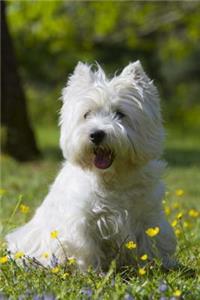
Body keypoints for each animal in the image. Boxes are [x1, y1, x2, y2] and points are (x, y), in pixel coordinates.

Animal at [5, 61, 177, 272]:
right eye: (86, 114)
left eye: (120, 114)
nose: (96, 134)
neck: (111, 177)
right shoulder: (81, 222)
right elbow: (86, 248)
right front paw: (92, 273)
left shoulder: (148, 216)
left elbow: (152, 242)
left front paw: (157, 266)